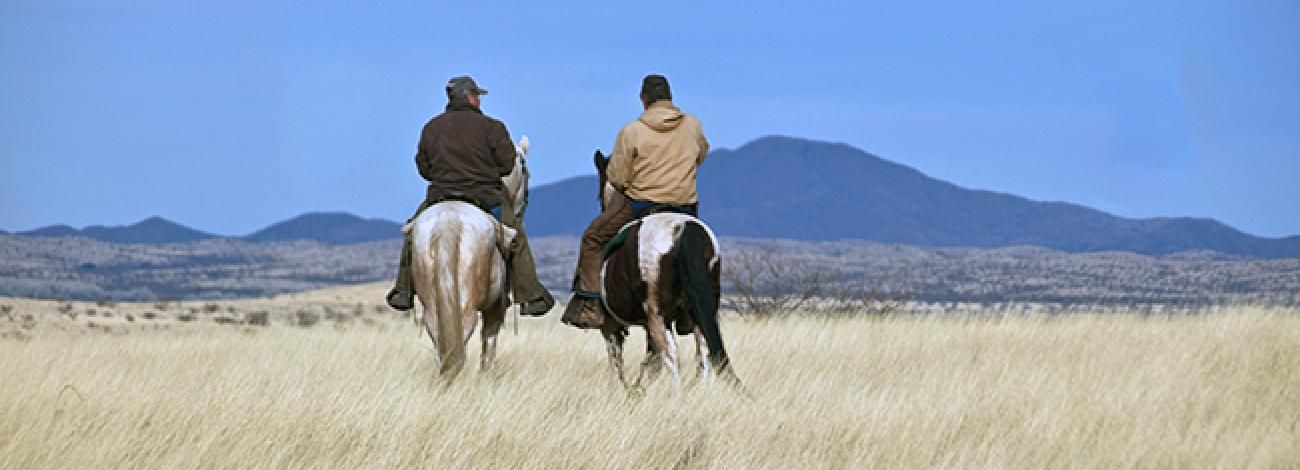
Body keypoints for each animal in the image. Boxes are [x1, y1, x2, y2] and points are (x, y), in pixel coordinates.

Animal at [405, 135, 527, 379]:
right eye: (525, 168)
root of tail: (449, 219)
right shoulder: (495, 308)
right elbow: (488, 346)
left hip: (432, 307)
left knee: (442, 347)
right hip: (468, 307)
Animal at [592, 151, 738, 389]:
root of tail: (682, 228)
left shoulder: (610, 325)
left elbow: (617, 359)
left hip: (658, 316)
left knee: (671, 356)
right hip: (702, 311)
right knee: (703, 353)